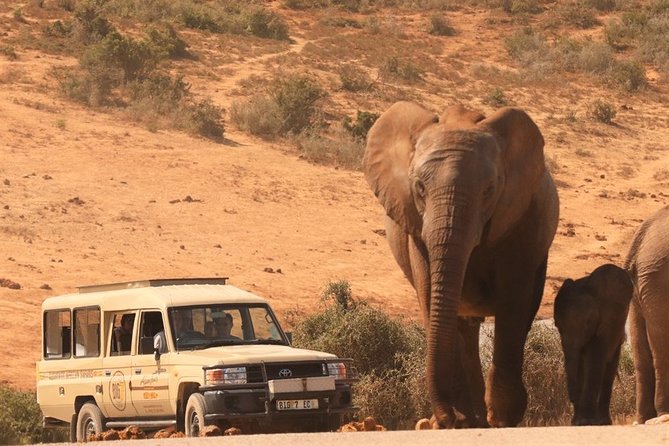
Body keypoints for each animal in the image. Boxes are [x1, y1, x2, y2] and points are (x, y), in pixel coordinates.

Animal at [363, 101, 559, 428]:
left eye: (489, 189)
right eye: (419, 188)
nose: (443, 420)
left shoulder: (522, 218)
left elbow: (513, 301)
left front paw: (503, 419)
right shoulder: (415, 226)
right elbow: (431, 293)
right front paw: (461, 420)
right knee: (463, 326)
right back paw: (473, 418)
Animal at [553, 263, 633, 426]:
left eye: (589, 322)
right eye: (557, 324)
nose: (573, 399)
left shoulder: (606, 321)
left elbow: (594, 360)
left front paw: (584, 422)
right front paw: (577, 422)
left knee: (608, 369)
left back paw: (603, 421)